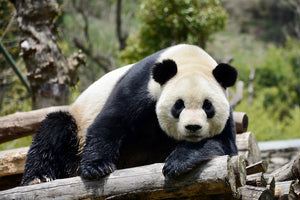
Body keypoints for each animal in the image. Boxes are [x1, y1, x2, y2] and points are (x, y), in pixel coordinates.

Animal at [21, 44, 238, 185]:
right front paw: (97, 168)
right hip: (76, 127)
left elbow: (225, 146)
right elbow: (110, 121)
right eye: (179, 105)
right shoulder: (142, 86)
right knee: (54, 131)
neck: (189, 59)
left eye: (207, 106)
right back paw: (38, 177)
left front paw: (178, 161)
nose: (192, 127)